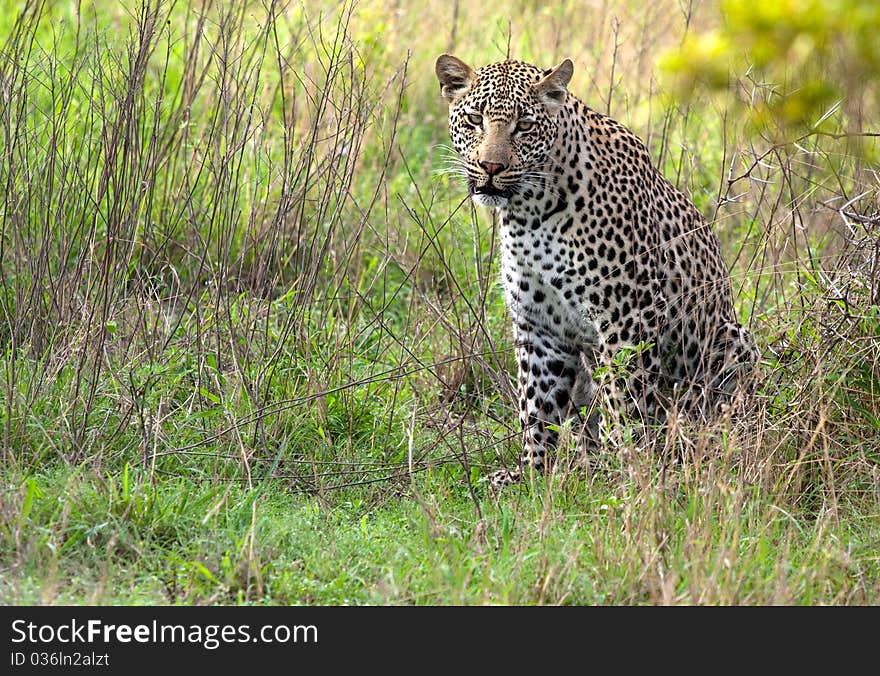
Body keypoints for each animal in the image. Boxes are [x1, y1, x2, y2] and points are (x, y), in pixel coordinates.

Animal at [434, 52, 756, 486]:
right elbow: (535, 405)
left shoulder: (626, 316)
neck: (530, 212)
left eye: (524, 125)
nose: (491, 166)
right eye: (474, 120)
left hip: (734, 341)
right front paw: (532, 474)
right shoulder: (539, 325)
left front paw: (629, 469)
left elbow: (623, 396)